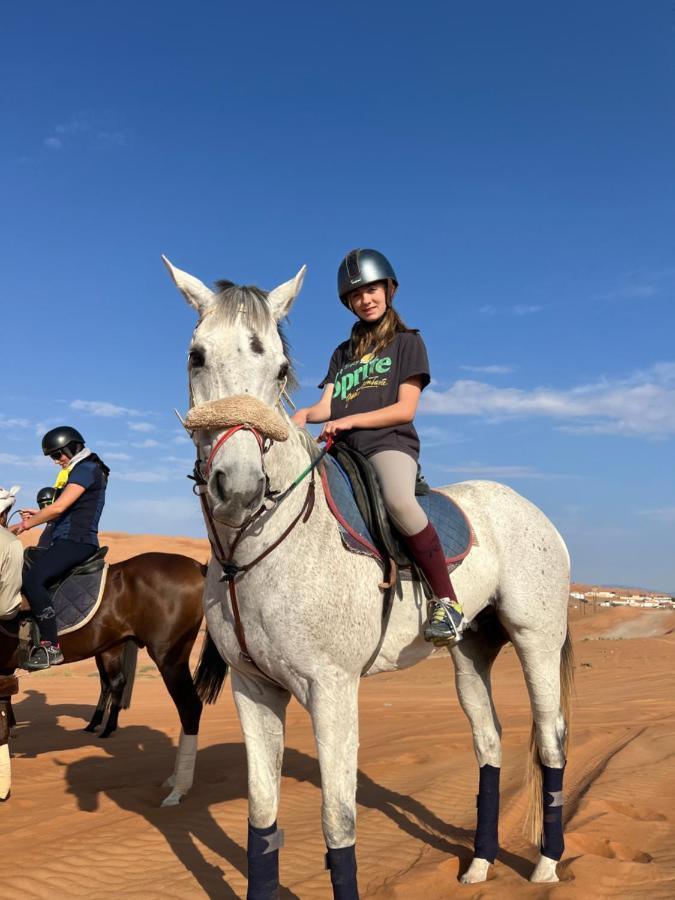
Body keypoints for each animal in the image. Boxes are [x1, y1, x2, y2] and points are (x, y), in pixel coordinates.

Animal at [0, 552, 227, 804]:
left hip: (168, 658)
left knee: (188, 706)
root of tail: (197, 566)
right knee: (116, 684)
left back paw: (177, 790)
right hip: (115, 650)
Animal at [165, 256, 576, 896]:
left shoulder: (333, 690)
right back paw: (479, 863)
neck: (259, 552)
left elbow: (338, 822)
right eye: (197, 355)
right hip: (470, 652)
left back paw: (546, 864)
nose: (239, 487)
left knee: (551, 739)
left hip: (536, 639)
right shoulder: (252, 688)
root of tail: (535, 513)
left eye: (280, 369)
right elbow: (262, 818)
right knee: (488, 743)